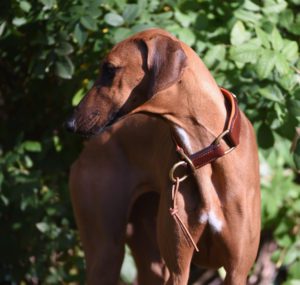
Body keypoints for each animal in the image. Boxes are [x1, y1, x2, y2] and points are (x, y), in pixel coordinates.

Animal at [67, 27, 260, 282]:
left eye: (110, 69)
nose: (69, 124)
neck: (204, 153)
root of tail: (87, 150)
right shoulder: (178, 269)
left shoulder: (237, 271)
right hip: (106, 253)